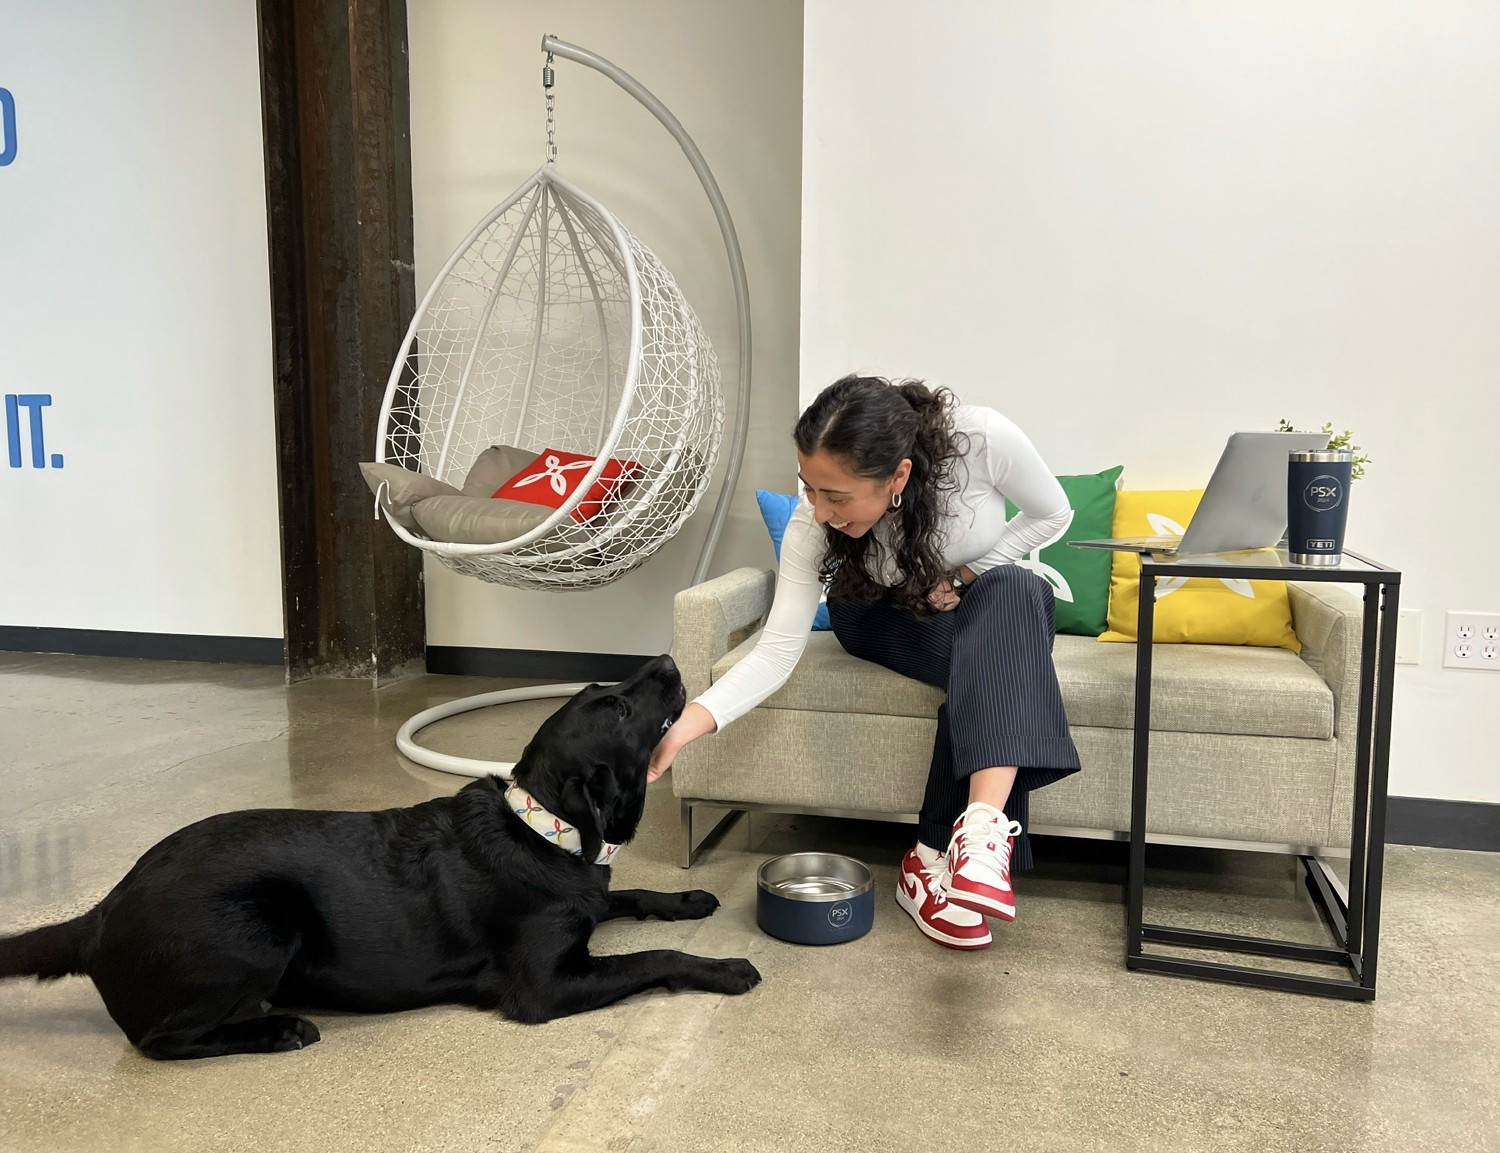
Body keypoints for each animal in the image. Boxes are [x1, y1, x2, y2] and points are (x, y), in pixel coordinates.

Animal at [0, 653, 756, 1055]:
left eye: (612, 690)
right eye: (618, 710)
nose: (666, 660)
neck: (540, 825)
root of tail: (98, 914)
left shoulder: (591, 896)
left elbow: (624, 893)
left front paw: (686, 898)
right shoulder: (544, 985)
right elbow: (653, 958)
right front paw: (723, 967)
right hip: (261, 927)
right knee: (159, 1039)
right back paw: (278, 1029)